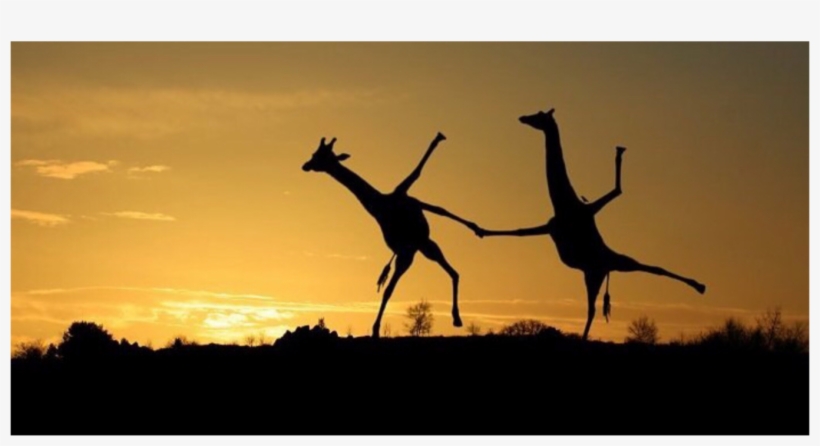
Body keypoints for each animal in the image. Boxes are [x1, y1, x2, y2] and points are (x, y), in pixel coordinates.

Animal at [302, 133, 479, 338]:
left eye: (319, 156)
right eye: (315, 154)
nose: (305, 165)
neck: (380, 206)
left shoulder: (407, 205)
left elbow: (426, 188)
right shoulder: (405, 248)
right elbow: (388, 290)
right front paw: (375, 329)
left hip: (421, 246)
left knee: (450, 269)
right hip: (424, 247)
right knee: (453, 272)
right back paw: (456, 318)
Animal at [475, 108, 706, 340]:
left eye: (540, 116)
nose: (523, 118)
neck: (564, 204)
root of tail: (607, 266)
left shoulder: (589, 210)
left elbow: (617, 191)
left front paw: (619, 151)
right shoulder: (551, 228)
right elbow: (519, 231)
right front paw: (477, 229)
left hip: (603, 268)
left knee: (646, 272)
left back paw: (699, 286)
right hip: (594, 273)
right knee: (596, 305)